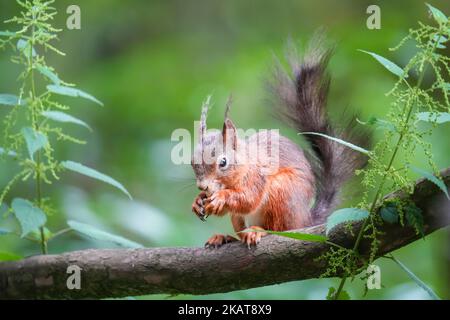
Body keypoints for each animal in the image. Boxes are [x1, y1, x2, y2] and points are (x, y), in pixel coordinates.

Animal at [190, 37, 370, 248]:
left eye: (223, 162)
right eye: (192, 162)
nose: (203, 187)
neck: (244, 164)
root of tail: (304, 222)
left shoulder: (257, 176)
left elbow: (248, 199)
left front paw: (220, 198)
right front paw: (198, 201)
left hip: (282, 193)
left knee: (278, 229)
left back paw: (257, 231)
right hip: (242, 218)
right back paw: (225, 237)